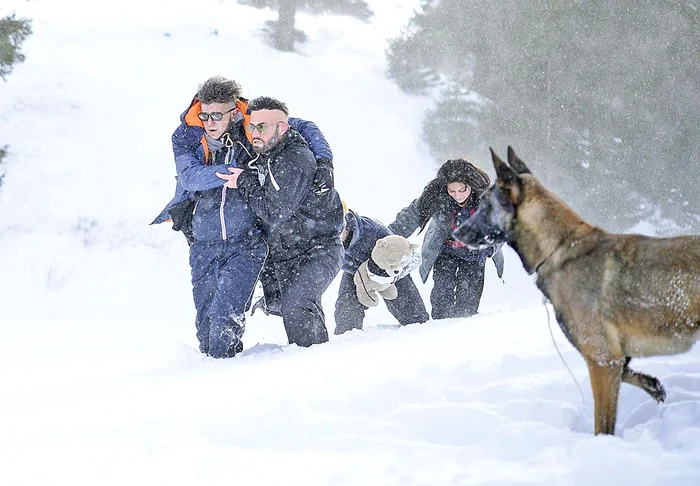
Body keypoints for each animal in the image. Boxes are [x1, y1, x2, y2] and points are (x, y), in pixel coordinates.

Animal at [454, 146, 700, 434]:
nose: (456, 233)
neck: (558, 247)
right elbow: (638, 378)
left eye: (484, 203)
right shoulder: (614, 359)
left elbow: (603, 426)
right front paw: (656, 389)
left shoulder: (602, 360)